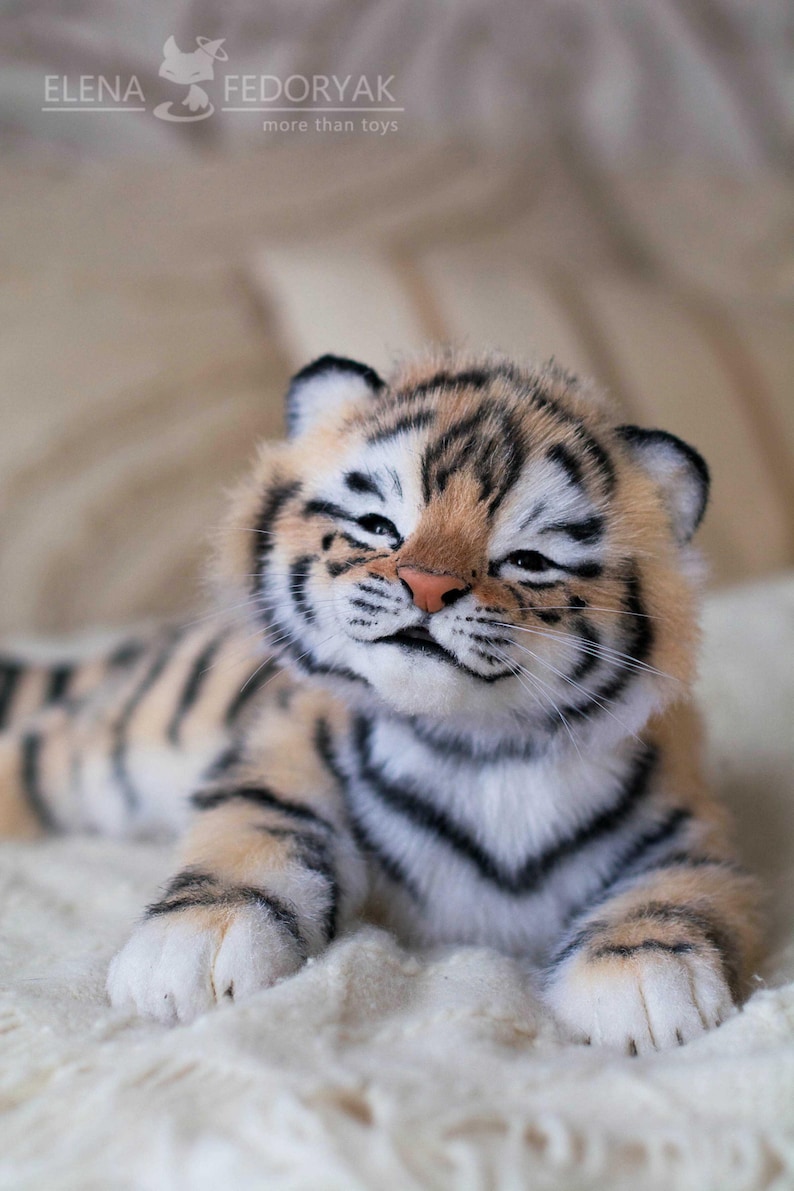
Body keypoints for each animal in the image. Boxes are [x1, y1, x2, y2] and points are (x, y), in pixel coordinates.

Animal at [0, 350, 762, 1053]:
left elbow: (676, 886)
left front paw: (644, 978)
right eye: (378, 525)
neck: (478, 749)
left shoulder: (686, 822)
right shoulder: (284, 756)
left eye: (529, 560)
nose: (427, 585)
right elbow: (255, 831)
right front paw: (191, 948)